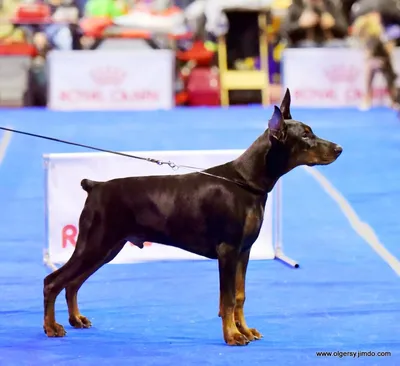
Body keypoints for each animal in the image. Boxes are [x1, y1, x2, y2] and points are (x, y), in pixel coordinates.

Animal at [43, 88, 344, 346]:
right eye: (305, 136)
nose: (339, 149)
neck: (246, 181)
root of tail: (95, 185)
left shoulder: (244, 251)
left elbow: (240, 295)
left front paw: (245, 330)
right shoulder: (227, 250)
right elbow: (227, 299)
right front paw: (233, 336)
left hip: (108, 248)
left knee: (73, 283)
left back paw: (75, 319)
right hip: (95, 243)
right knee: (53, 281)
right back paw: (51, 327)